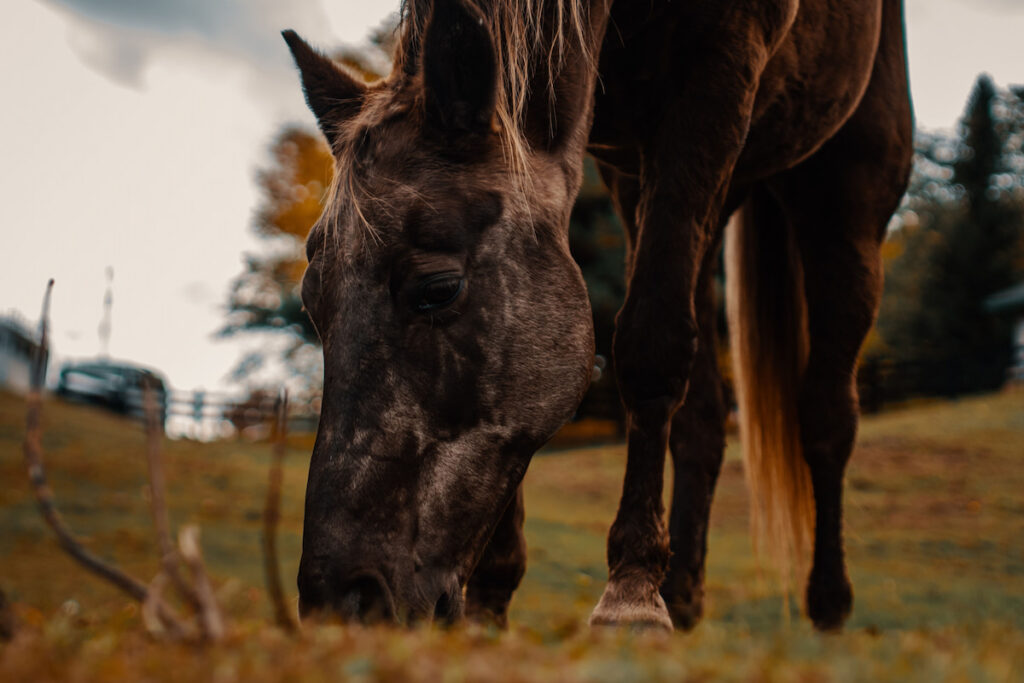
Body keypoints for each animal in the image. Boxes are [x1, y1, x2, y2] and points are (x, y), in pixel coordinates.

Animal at [284, 0, 917, 634]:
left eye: (438, 289)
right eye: (313, 301)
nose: (343, 600)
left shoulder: (716, 74)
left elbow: (651, 345)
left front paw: (631, 595)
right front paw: (493, 600)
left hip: (844, 202)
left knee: (828, 413)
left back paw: (827, 601)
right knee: (704, 419)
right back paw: (683, 595)